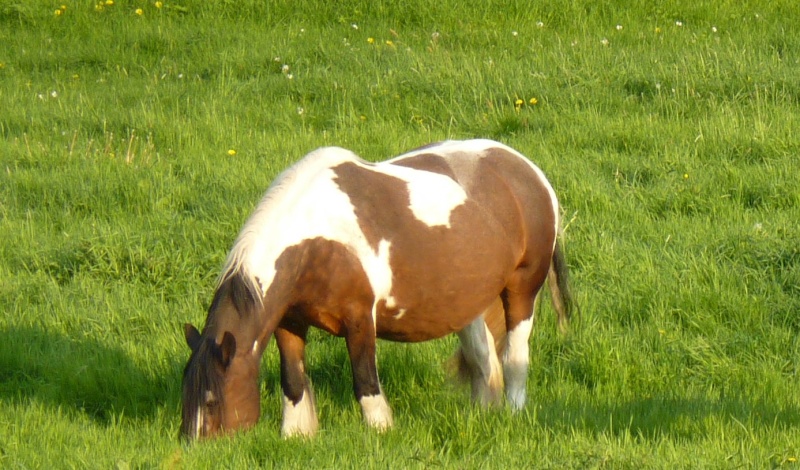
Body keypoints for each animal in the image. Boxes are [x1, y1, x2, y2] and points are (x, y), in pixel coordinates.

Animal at [180, 138, 576, 438]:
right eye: (186, 396)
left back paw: (513, 412)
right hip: (470, 304)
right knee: (484, 360)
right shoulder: (288, 323)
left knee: (514, 357)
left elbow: (365, 381)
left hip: (521, 291)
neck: (316, 239)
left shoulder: (359, 320)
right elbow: (292, 382)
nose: (193, 447)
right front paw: (296, 436)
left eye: (212, 401)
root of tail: (530, 173)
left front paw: (381, 431)